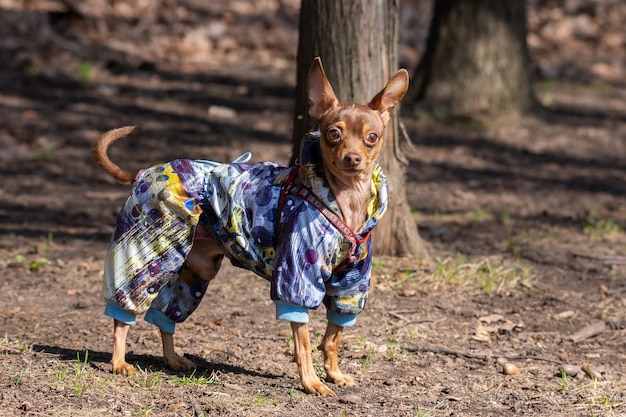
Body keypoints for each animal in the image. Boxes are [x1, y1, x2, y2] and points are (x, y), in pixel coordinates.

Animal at [91, 57, 404, 394]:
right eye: (333, 134)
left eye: (372, 137)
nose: (353, 158)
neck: (347, 199)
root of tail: (144, 172)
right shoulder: (296, 279)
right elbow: (305, 343)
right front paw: (311, 382)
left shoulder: (350, 285)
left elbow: (333, 336)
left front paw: (334, 373)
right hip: (147, 255)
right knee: (126, 312)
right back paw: (119, 362)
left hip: (193, 272)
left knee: (162, 315)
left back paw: (173, 360)